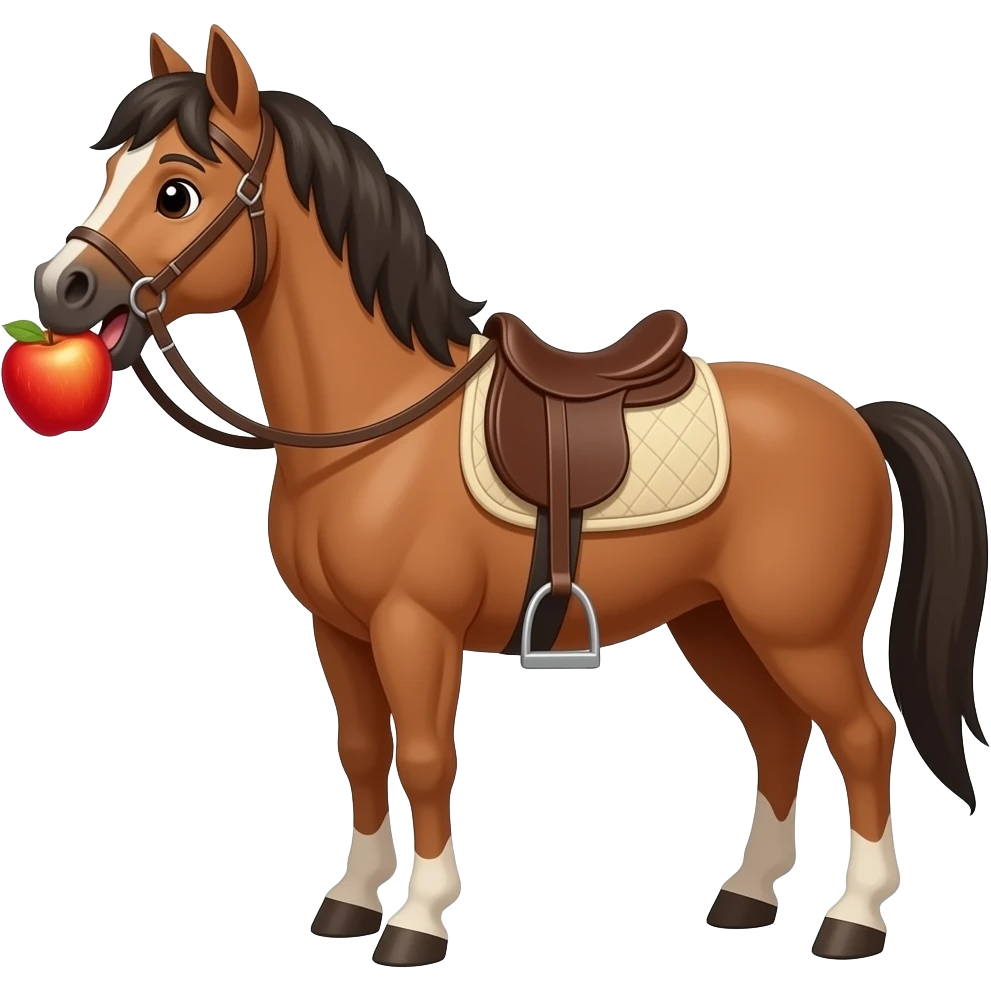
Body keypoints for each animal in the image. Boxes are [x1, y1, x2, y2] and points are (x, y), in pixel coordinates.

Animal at [28, 24, 987, 967]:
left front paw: (416, 920)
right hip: (717, 622)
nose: (59, 287)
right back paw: (748, 895)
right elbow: (361, 749)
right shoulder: (338, 631)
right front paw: (349, 901)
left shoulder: (414, 627)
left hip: (801, 632)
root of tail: (855, 417)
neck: (375, 425)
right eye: (111, 173)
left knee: (862, 733)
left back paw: (854, 916)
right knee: (778, 730)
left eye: (176, 191)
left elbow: (422, 757)